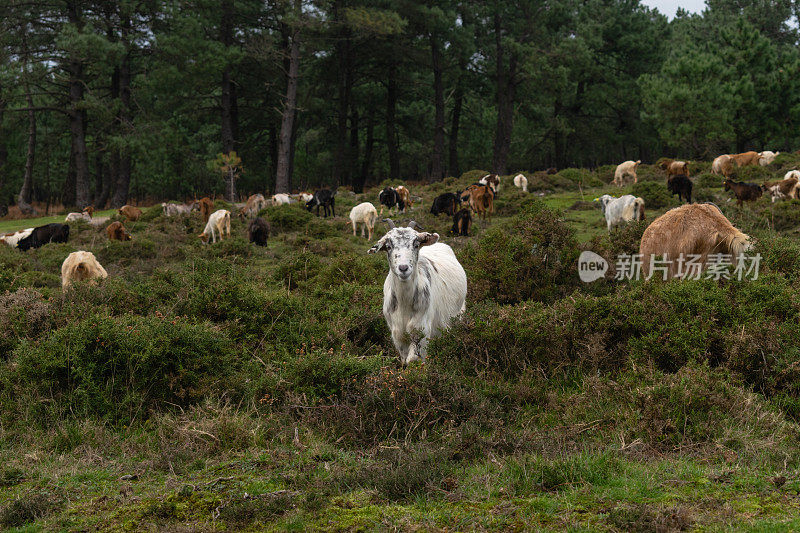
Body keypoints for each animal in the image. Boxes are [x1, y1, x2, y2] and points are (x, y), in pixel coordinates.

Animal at [368, 218, 468, 364]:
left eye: (415, 244)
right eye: (388, 246)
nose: (403, 268)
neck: (404, 305)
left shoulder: (421, 332)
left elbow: (414, 359)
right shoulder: (398, 336)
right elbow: (405, 359)